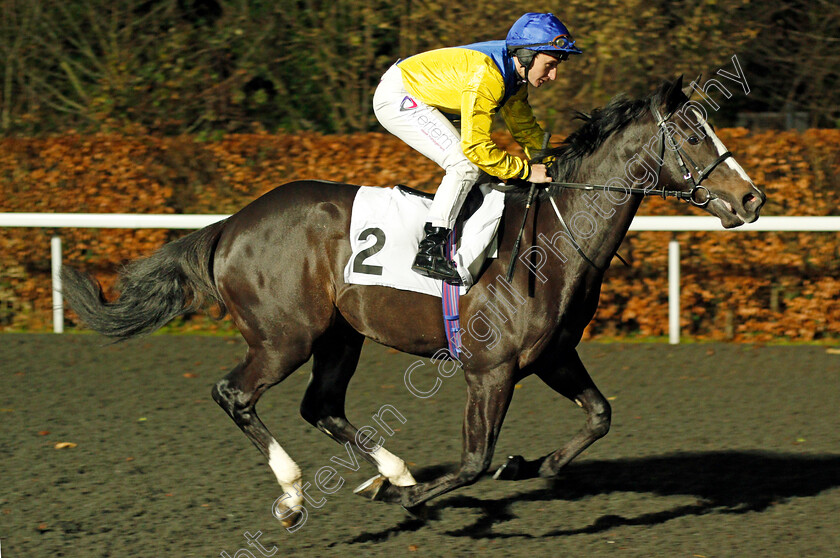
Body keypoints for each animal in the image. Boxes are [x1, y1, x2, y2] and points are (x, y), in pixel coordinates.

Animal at [60, 76, 768, 528]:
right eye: (694, 136)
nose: (753, 197)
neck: (553, 239)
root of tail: (232, 225)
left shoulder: (552, 356)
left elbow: (599, 417)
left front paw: (528, 464)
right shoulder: (490, 369)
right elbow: (475, 459)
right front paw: (425, 497)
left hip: (339, 336)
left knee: (321, 406)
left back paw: (392, 472)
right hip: (284, 337)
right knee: (235, 394)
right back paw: (298, 493)